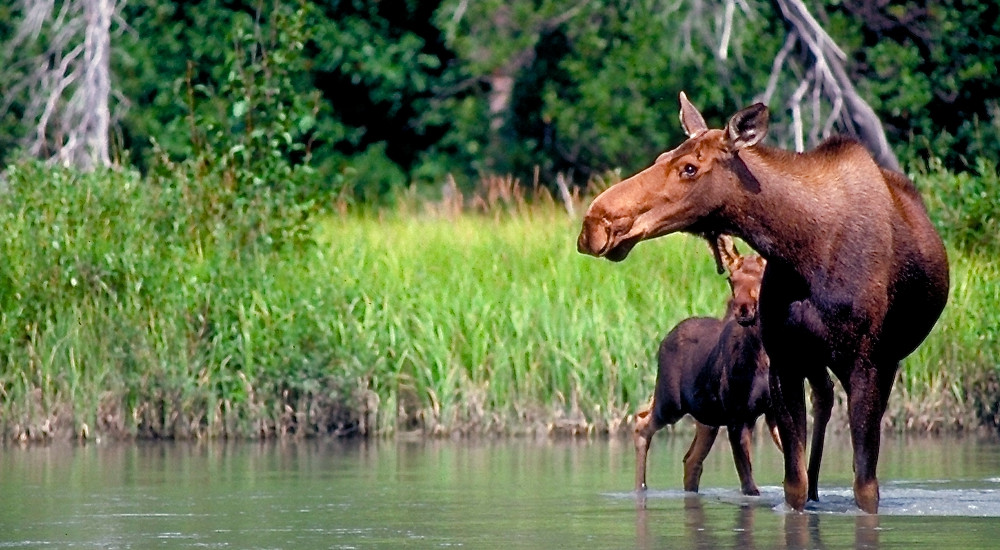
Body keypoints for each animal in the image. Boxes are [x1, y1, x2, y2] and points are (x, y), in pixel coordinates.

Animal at [576, 92, 948, 516]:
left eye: (689, 167)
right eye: (660, 158)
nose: (595, 223)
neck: (802, 251)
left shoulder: (869, 364)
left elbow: (865, 488)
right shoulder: (784, 362)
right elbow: (793, 484)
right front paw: (805, 492)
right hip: (808, 363)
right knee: (820, 401)